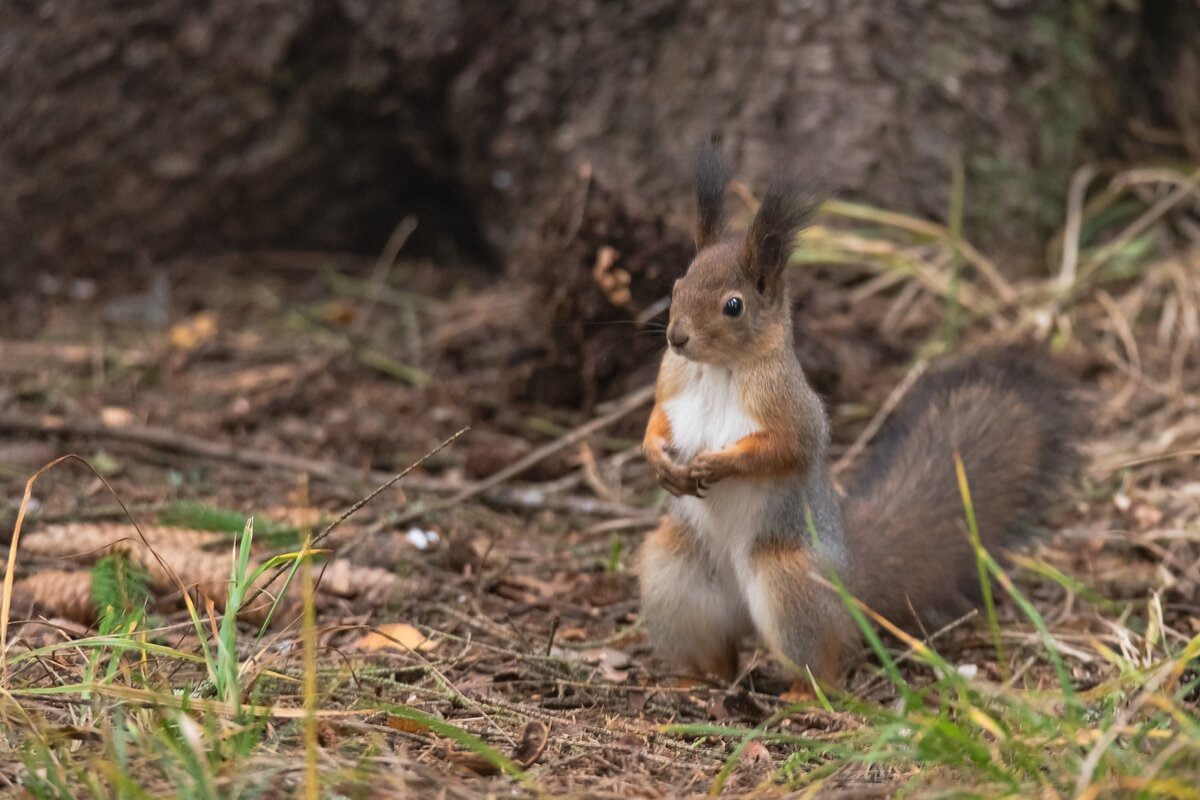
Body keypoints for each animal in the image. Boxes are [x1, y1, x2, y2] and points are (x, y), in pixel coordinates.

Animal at [643, 139, 1084, 690]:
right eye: (678, 284)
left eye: (734, 305)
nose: (676, 337)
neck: (718, 369)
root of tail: (849, 586)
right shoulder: (671, 381)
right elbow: (657, 418)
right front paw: (658, 459)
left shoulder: (793, 408)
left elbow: (786, 448)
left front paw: (717, 463)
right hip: (675, 573)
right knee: (718, 648)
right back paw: (697, 679)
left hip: (788, 582)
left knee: (820, 660)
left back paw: (805, 694)